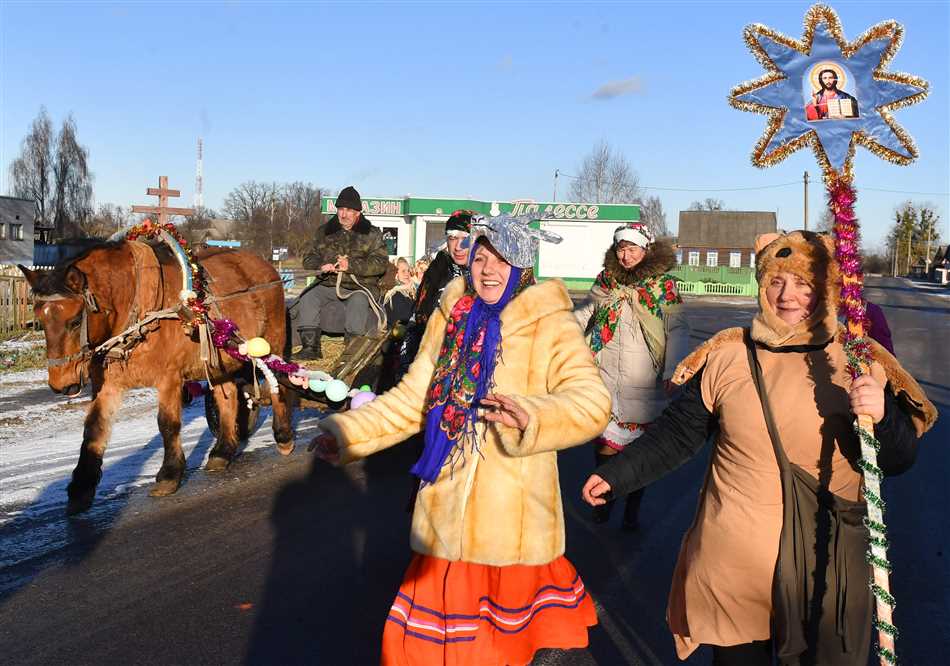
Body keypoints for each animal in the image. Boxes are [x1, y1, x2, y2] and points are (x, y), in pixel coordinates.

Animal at [17, 240, 294, 512]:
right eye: (40, 320)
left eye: (75, 321)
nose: (60, 384)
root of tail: (266, 268)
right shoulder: (107, 384)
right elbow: (94, 429)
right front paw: (81, 487)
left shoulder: (169, 378)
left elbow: (167, 424)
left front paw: (169, 475)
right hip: (219, 360)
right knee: (228, 398)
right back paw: (222, 452)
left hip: (273, 341)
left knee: (278, 385)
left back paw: (283, 436)